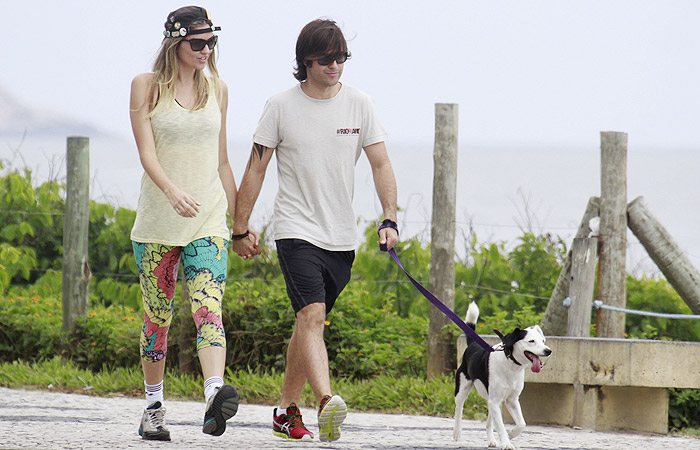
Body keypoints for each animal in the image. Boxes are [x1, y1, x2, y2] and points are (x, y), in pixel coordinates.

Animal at [454, 302, 552, 450]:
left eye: (543, 340)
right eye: (531, 341)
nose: (548, 351)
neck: (511, 365)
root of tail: (472, 344)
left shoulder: (511, 400)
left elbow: (522, 423)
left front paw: (510, 435)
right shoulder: (495, 401)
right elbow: (500, 426)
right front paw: (506, 443)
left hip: (493, 400)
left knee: (489, 422)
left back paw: (491, 440)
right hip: (463, 389)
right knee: (459, 409)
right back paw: (457, 434)